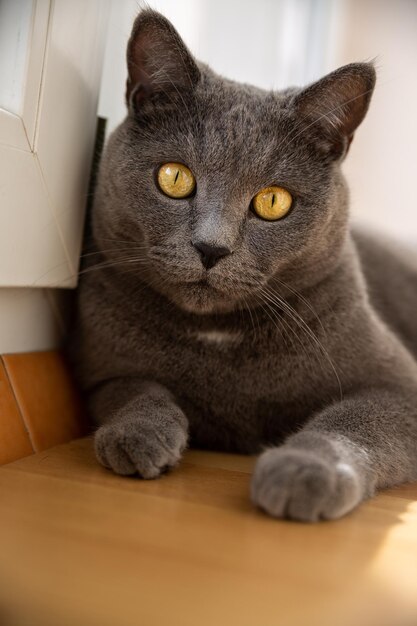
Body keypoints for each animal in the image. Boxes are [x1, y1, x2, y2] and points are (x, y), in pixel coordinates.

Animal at [70, 9, 416, 520]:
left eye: (273, 201)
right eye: (174, 178)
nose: (211, 248)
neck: (217, 333)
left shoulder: (399, 386)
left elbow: (350, 422)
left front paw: (304, 472)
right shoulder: (99, 370)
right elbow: (134, 388)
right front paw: (138, 436)